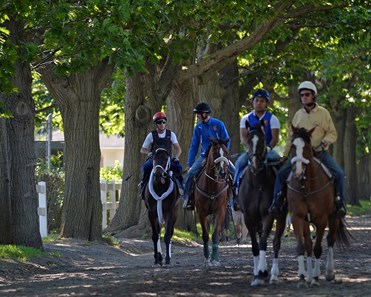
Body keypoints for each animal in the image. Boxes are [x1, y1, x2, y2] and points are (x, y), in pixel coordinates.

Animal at [238, 121, 288, 286]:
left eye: (262, 142)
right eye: (248, 141)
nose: (255, 165)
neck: (257, 184)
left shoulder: (268, 214)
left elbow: (264, 242)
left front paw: (261, 273)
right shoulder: (248, 216)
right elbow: (255, 244)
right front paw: (257, 274)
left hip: (282, 215)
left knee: (276, 242)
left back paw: (273, 274)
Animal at [288, 126, 352, 286]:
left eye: (306, 147)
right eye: (293, 146)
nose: (298, 171)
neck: (306, 186)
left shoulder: (322, 218)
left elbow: (318, 248)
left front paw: (316, 277)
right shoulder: (298, 217)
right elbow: (303, 246)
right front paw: (303, 277)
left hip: (334, 218)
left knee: (330, 240)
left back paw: (329, 272)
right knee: (310, 243)